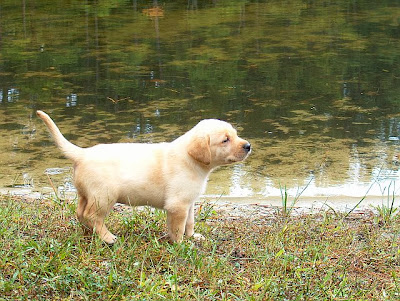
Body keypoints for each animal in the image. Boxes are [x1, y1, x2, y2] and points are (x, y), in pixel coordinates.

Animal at [36, 110, 250, 244]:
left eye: (235, 134)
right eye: (225, 140)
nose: (248, 146)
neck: (191, 160)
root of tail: (83, 153)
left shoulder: (189, 202)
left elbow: (189, 222)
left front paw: (192, 236)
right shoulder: (178, 205)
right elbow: (178, 227)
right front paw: (180, 243)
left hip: (86, 194)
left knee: (80, 213)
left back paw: (89, 234)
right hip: (104, 196)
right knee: (92, 216)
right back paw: (107, 237)